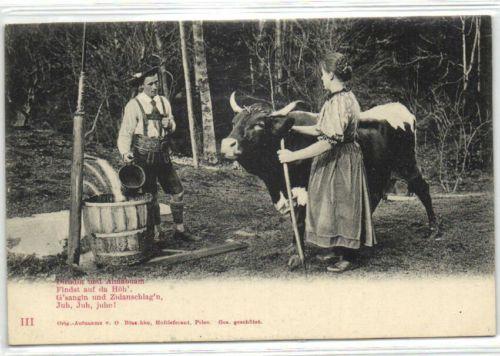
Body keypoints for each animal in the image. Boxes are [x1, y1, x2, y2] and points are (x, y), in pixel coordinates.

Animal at [221, 92, 440, 262]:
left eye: (259, 124)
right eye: (233, 122)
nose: (227, 144)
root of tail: (400, 108)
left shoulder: (303, 188)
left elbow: (299, 220)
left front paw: (298, 254)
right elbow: (293, 218)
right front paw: (293, 246)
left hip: (407, 163)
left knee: (423, 188)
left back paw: (433, 229)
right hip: (381, 172)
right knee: (376, 196)